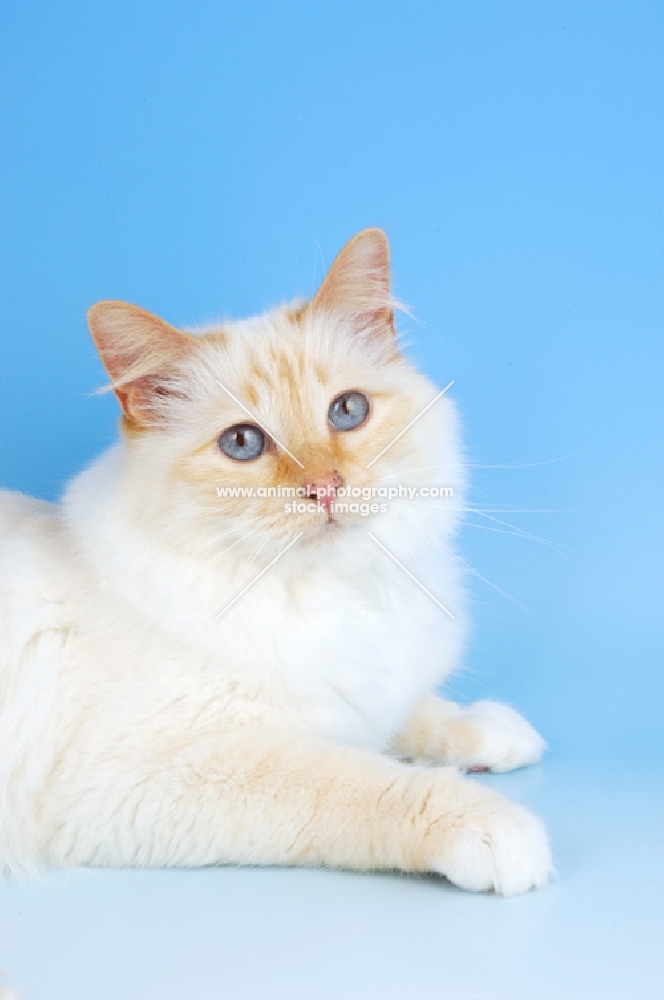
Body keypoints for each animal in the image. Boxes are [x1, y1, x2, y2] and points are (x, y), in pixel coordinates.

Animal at [0, 230, 548, 896]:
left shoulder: (362, 691)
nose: (325, 487)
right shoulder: (145, 779)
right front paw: (496, 827)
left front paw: (492, 732)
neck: (332, 595)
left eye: (347, 412)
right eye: (242, 443)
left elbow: (411, 713)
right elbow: (358, 781)